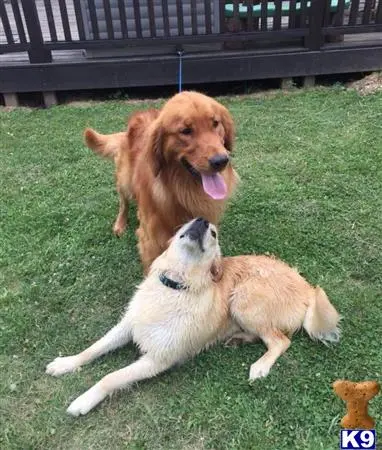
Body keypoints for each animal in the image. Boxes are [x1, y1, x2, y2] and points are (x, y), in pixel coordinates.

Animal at [45, 217, 340, 414]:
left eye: (214, 233)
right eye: (189, 221)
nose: (203, 220)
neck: (175, 285)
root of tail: (307, 287)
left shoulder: (157, 359)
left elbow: (110, 377)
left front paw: (82, 401)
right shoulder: (128, 326)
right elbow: (93, 348)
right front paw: (66, 363)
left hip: (243, 298)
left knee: (280, 340)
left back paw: (260, 366)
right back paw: (239, 339)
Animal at [85, 92, 237, 270]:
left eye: (215, 123)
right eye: (186, 131)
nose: (221, 161)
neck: (182, 190)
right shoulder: (152, 241)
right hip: (125, 180)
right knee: (123, 202)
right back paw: (120, 224)